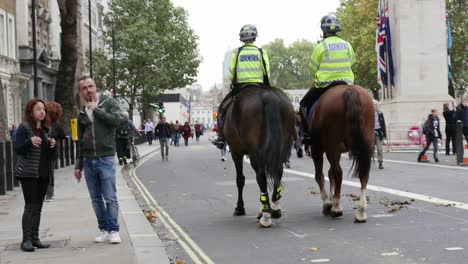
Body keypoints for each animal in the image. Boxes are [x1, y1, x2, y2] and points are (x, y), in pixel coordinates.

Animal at [224, 84, 296, 227]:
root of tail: (267, 95)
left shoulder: (236, 152)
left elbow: (240, 180)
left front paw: (240, 208)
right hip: (281, 145)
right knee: (278, 171)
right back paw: (275, 209)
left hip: (255, 151)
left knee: (261, 176)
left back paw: (266, 216)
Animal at [308, 84, 374, 223]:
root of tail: (350, 89)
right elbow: (329, 174)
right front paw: (331, 199)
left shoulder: (317, 149)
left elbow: (320, 175)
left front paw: (327, 203)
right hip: (366, 145)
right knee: (364, 174)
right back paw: (360, 212)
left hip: (330, 146)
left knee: (338, 172)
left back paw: (336, 208)